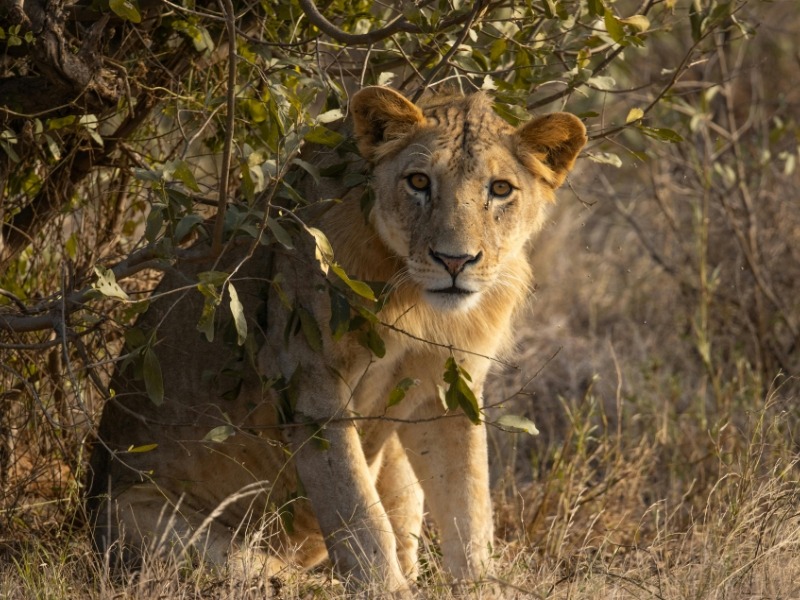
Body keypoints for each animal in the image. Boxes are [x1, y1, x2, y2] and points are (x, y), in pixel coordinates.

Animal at [87, 86, 586, 595]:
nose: (454, 261)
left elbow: (469, 506)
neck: (418, 301)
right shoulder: (310, 382)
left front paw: (479, 586)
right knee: (280, 578)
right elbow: (358, 510)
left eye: (500, 189)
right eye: (419, 182)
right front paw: (387, 591)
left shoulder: (450, 388)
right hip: (145, 521)